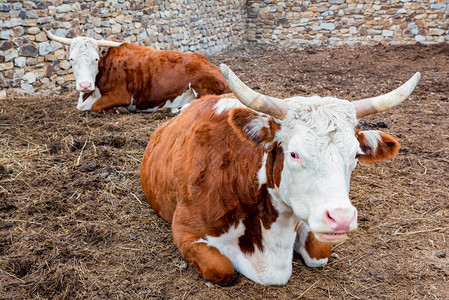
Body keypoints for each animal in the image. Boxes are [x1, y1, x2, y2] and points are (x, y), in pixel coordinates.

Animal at [43, 28, 229, 113]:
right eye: (71, 59)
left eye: (95, 59)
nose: (84, 85)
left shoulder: (121, 95)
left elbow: (95, 107)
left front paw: (117, 110)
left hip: (202, 86)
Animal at [141, 63, 420, 286]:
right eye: (294, 154)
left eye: (355, 155)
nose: (341, 219)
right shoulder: (185, 231)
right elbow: (222, 270)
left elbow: (319, 253)